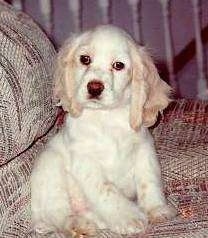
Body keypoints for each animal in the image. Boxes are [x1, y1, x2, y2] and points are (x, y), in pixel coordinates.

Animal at [31, 24, 177, 236]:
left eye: (118, 65)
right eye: (85, 59)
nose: (94, 87)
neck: (106, 117)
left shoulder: (144, 149)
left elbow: (149, 180)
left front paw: (156, 209)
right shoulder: (86, 161)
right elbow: (106, 190)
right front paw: (128, 218)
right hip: (50, 167)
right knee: (57, 213)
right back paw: (78, 225)